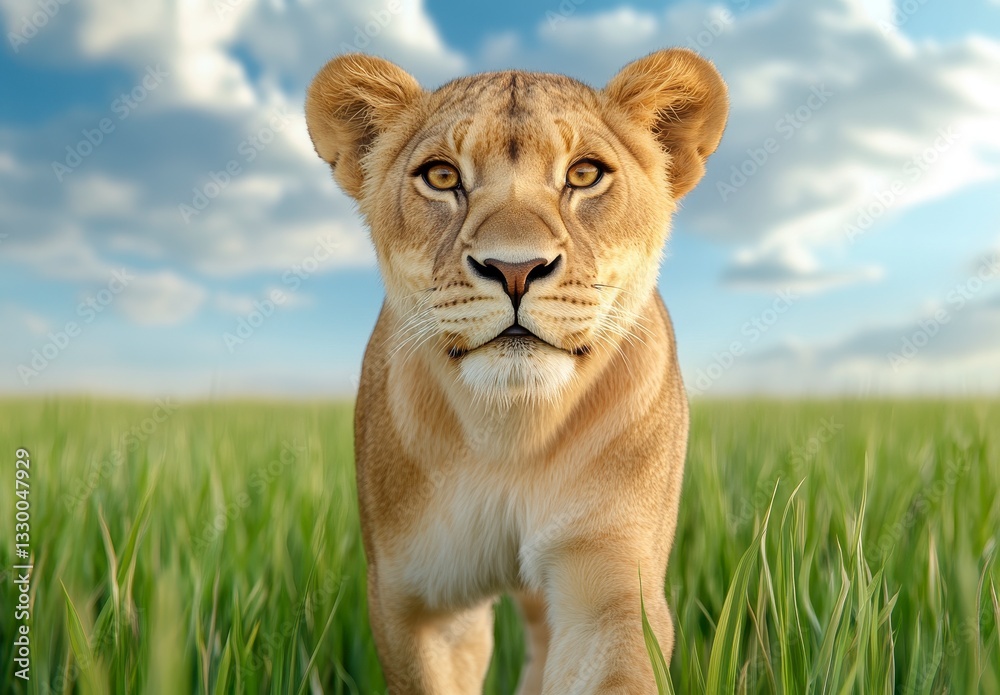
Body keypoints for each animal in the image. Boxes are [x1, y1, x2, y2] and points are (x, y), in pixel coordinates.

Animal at [305, 48, 727, 694]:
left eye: (584, 175)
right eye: (441, 177)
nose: (515, 269)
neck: (511, 431)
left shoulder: (609, 583)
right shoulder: (416, 598)